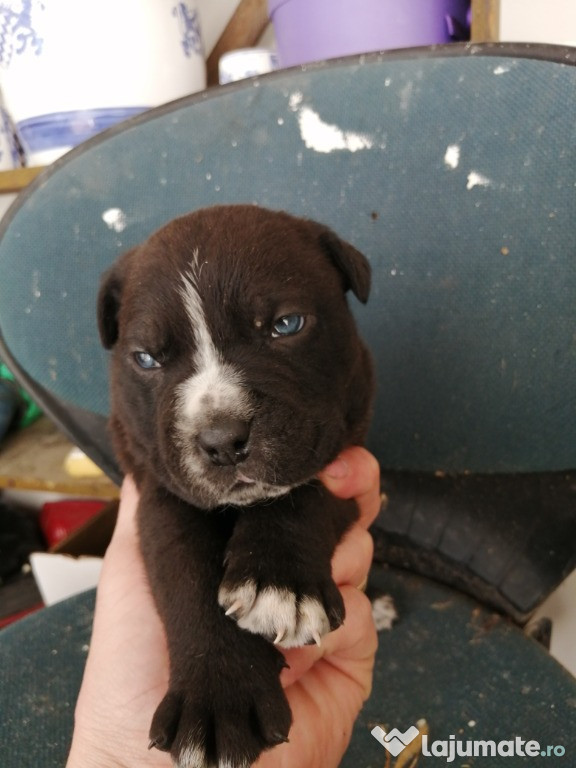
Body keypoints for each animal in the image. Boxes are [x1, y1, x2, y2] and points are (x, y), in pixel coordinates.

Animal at [98, 206, 374, 768]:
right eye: (146, 359)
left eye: (286, 325)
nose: (223, 441)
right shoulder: (159, 489)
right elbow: (185, 571)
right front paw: (218, 698)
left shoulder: (348, 453)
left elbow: (305, 494)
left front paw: (279, 582)